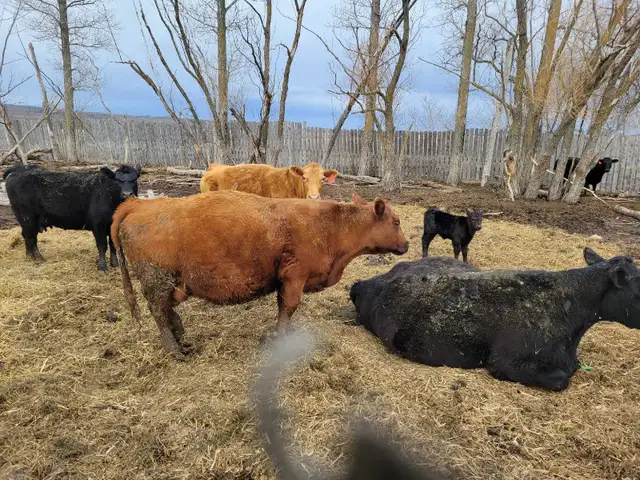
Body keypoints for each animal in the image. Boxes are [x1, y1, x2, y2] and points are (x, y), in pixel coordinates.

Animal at [5, 165, 141, 272]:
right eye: (117, 180)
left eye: (134, 179)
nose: (127, 194)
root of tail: (20, 168)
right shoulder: (98, 225)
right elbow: (102, 246)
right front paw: (102, 268)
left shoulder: (112, 225)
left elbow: (113, 244)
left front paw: (115, 264)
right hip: (26, 217)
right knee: (29, 237)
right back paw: (35, 258)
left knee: (31, 237)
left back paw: (35, 258)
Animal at [111, 191, 409, 358]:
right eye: (396, 222)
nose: (406, 245)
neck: (330, 225)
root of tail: (139, 205)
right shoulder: (294, 276)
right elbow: (288, 307)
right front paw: (280, 338)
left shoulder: (284, 280)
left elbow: (282, 307)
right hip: (157, 280)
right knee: (159, 312)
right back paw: (174, 349)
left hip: (175, 284)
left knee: (168, 310)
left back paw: (182, 338)